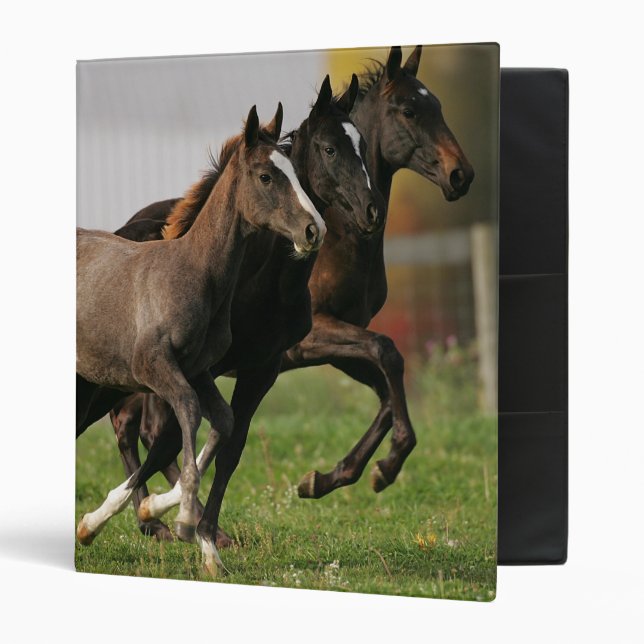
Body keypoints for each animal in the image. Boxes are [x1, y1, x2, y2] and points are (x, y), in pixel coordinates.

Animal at [77, 77, 385, 573]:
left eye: (362, 143)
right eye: (329, 149)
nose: (371, 212)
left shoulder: (257, 368)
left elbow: (228, 439)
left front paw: (200, 535)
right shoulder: (183, 370)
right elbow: (178, 436)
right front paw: (166, 516)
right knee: (129, 430)